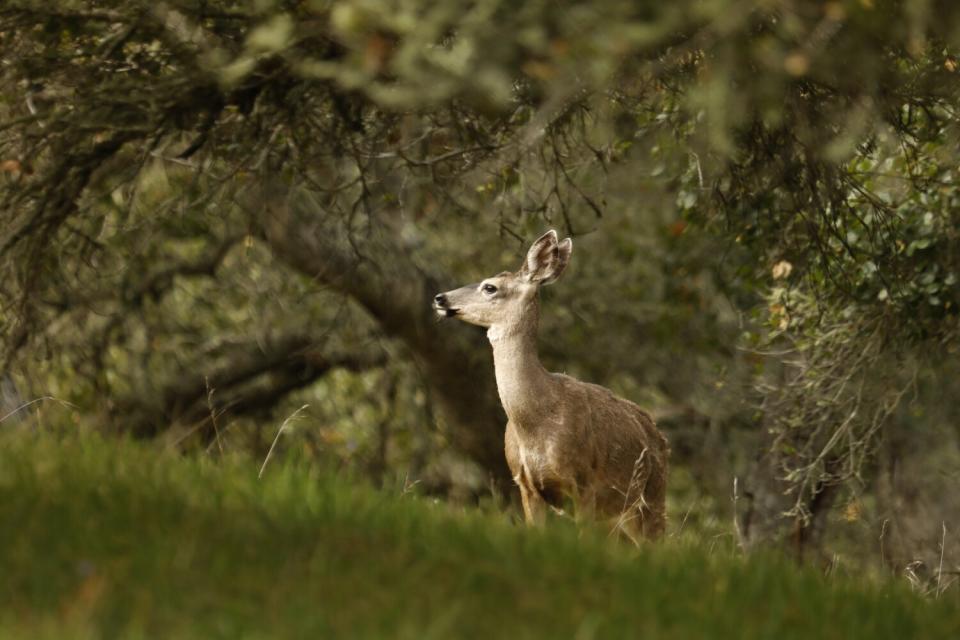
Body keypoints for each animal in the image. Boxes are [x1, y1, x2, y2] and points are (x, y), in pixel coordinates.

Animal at [434, 230, 668, 540]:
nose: (440, 298)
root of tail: (657, 432)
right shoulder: (525, 484)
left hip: (653, 497)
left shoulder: (584, 482)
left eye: (490, 287)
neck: (536, 422)